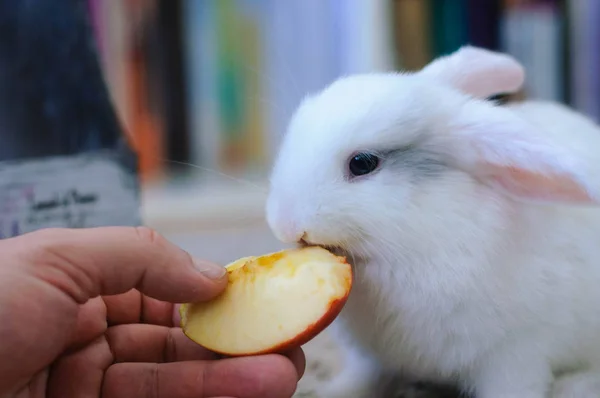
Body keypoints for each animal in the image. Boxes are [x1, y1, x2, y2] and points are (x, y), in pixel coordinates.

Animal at [268, 44, 600, 398]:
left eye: (362, 163)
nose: (283, 223)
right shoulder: (369, 356)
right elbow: (361, 378)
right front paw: (332, 392)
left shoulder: (515, 357)